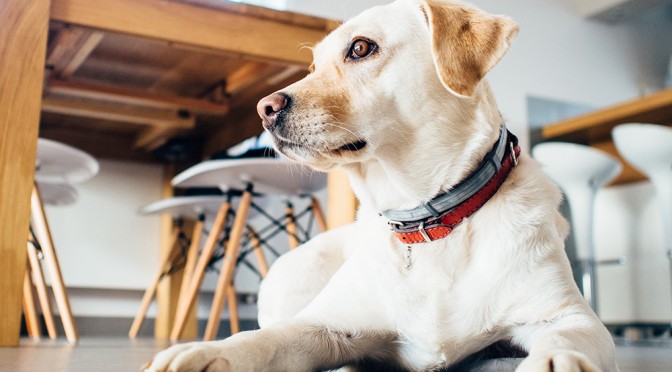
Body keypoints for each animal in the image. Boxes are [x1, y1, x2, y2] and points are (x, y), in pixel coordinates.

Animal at [147, 0, 620, 370]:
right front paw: (206, 353)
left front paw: (554, 362)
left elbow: (564, 339)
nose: (264, 109)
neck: (427, 221)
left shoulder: (569, 316)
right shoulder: (322, 325)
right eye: (313, 67)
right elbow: (262, 340)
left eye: (361, 48)